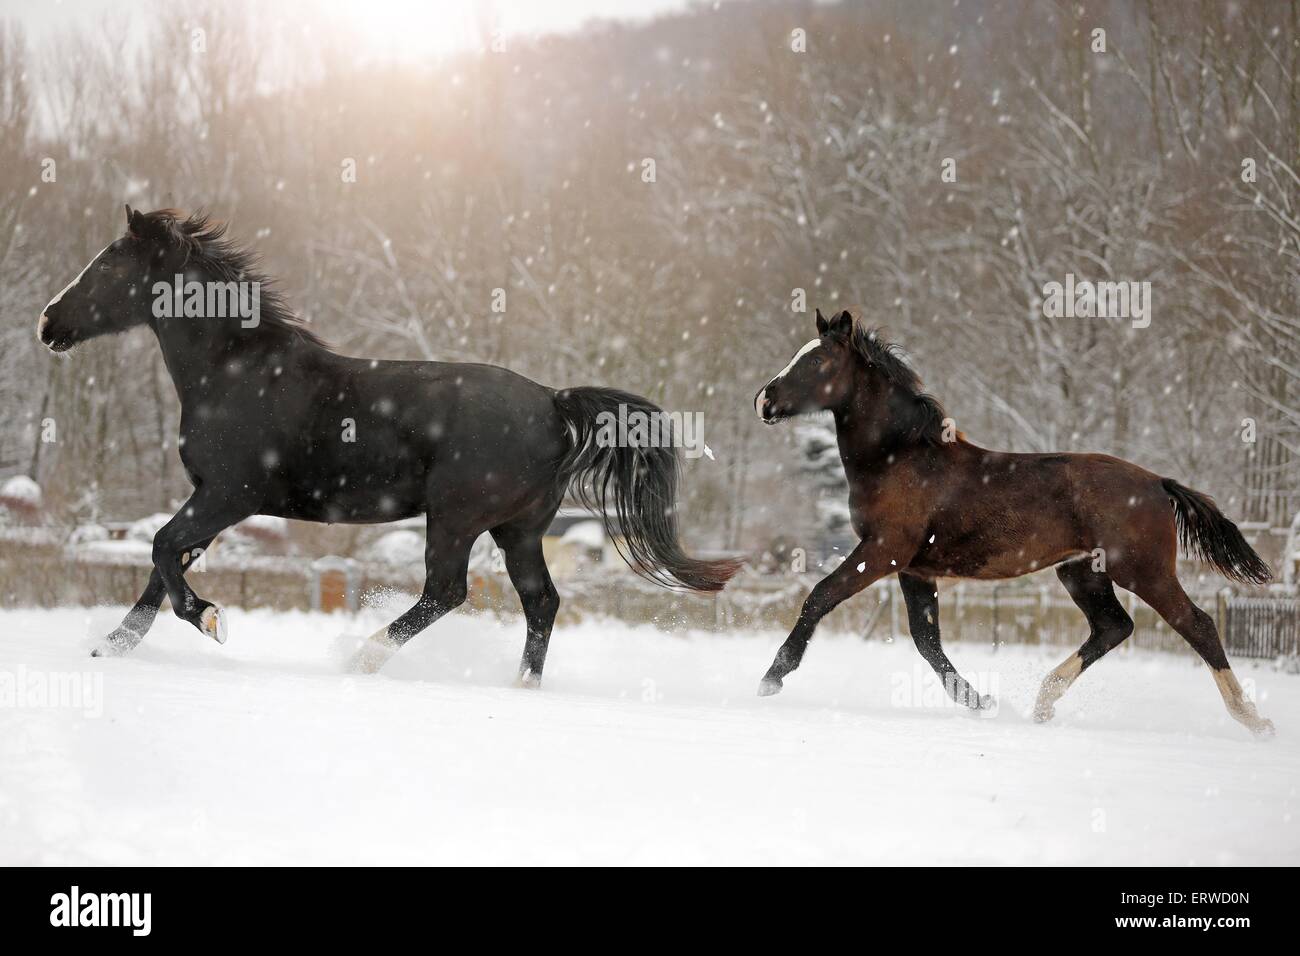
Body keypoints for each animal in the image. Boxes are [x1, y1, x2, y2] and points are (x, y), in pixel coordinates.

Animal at [35, 206, 738, 686]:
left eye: (107, 265)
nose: (48, 323)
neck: (237, 372)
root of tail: (553, 401)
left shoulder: (231, 495)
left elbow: (161, 549)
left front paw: (211, 620)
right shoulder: (212, 500)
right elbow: (163, 566)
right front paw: (112, 645)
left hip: (456, 518)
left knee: (447, 592)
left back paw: (360, 655)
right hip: (517, 529)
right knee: (540, 601)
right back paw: (520, 685)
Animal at [759, 310, 1274, 738]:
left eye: (818, 359)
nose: (763, 400)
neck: (901, 457)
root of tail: (1157, 482)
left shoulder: (882, 550)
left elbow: (820, 596)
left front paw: (771, 678)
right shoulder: (914, 568)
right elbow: (927, 641)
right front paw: (981, 701)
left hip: (1143, 570)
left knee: (1198, 624)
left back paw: (1254, 719)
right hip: (1080, 571)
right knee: (1114, 627)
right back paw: (1043, 702)